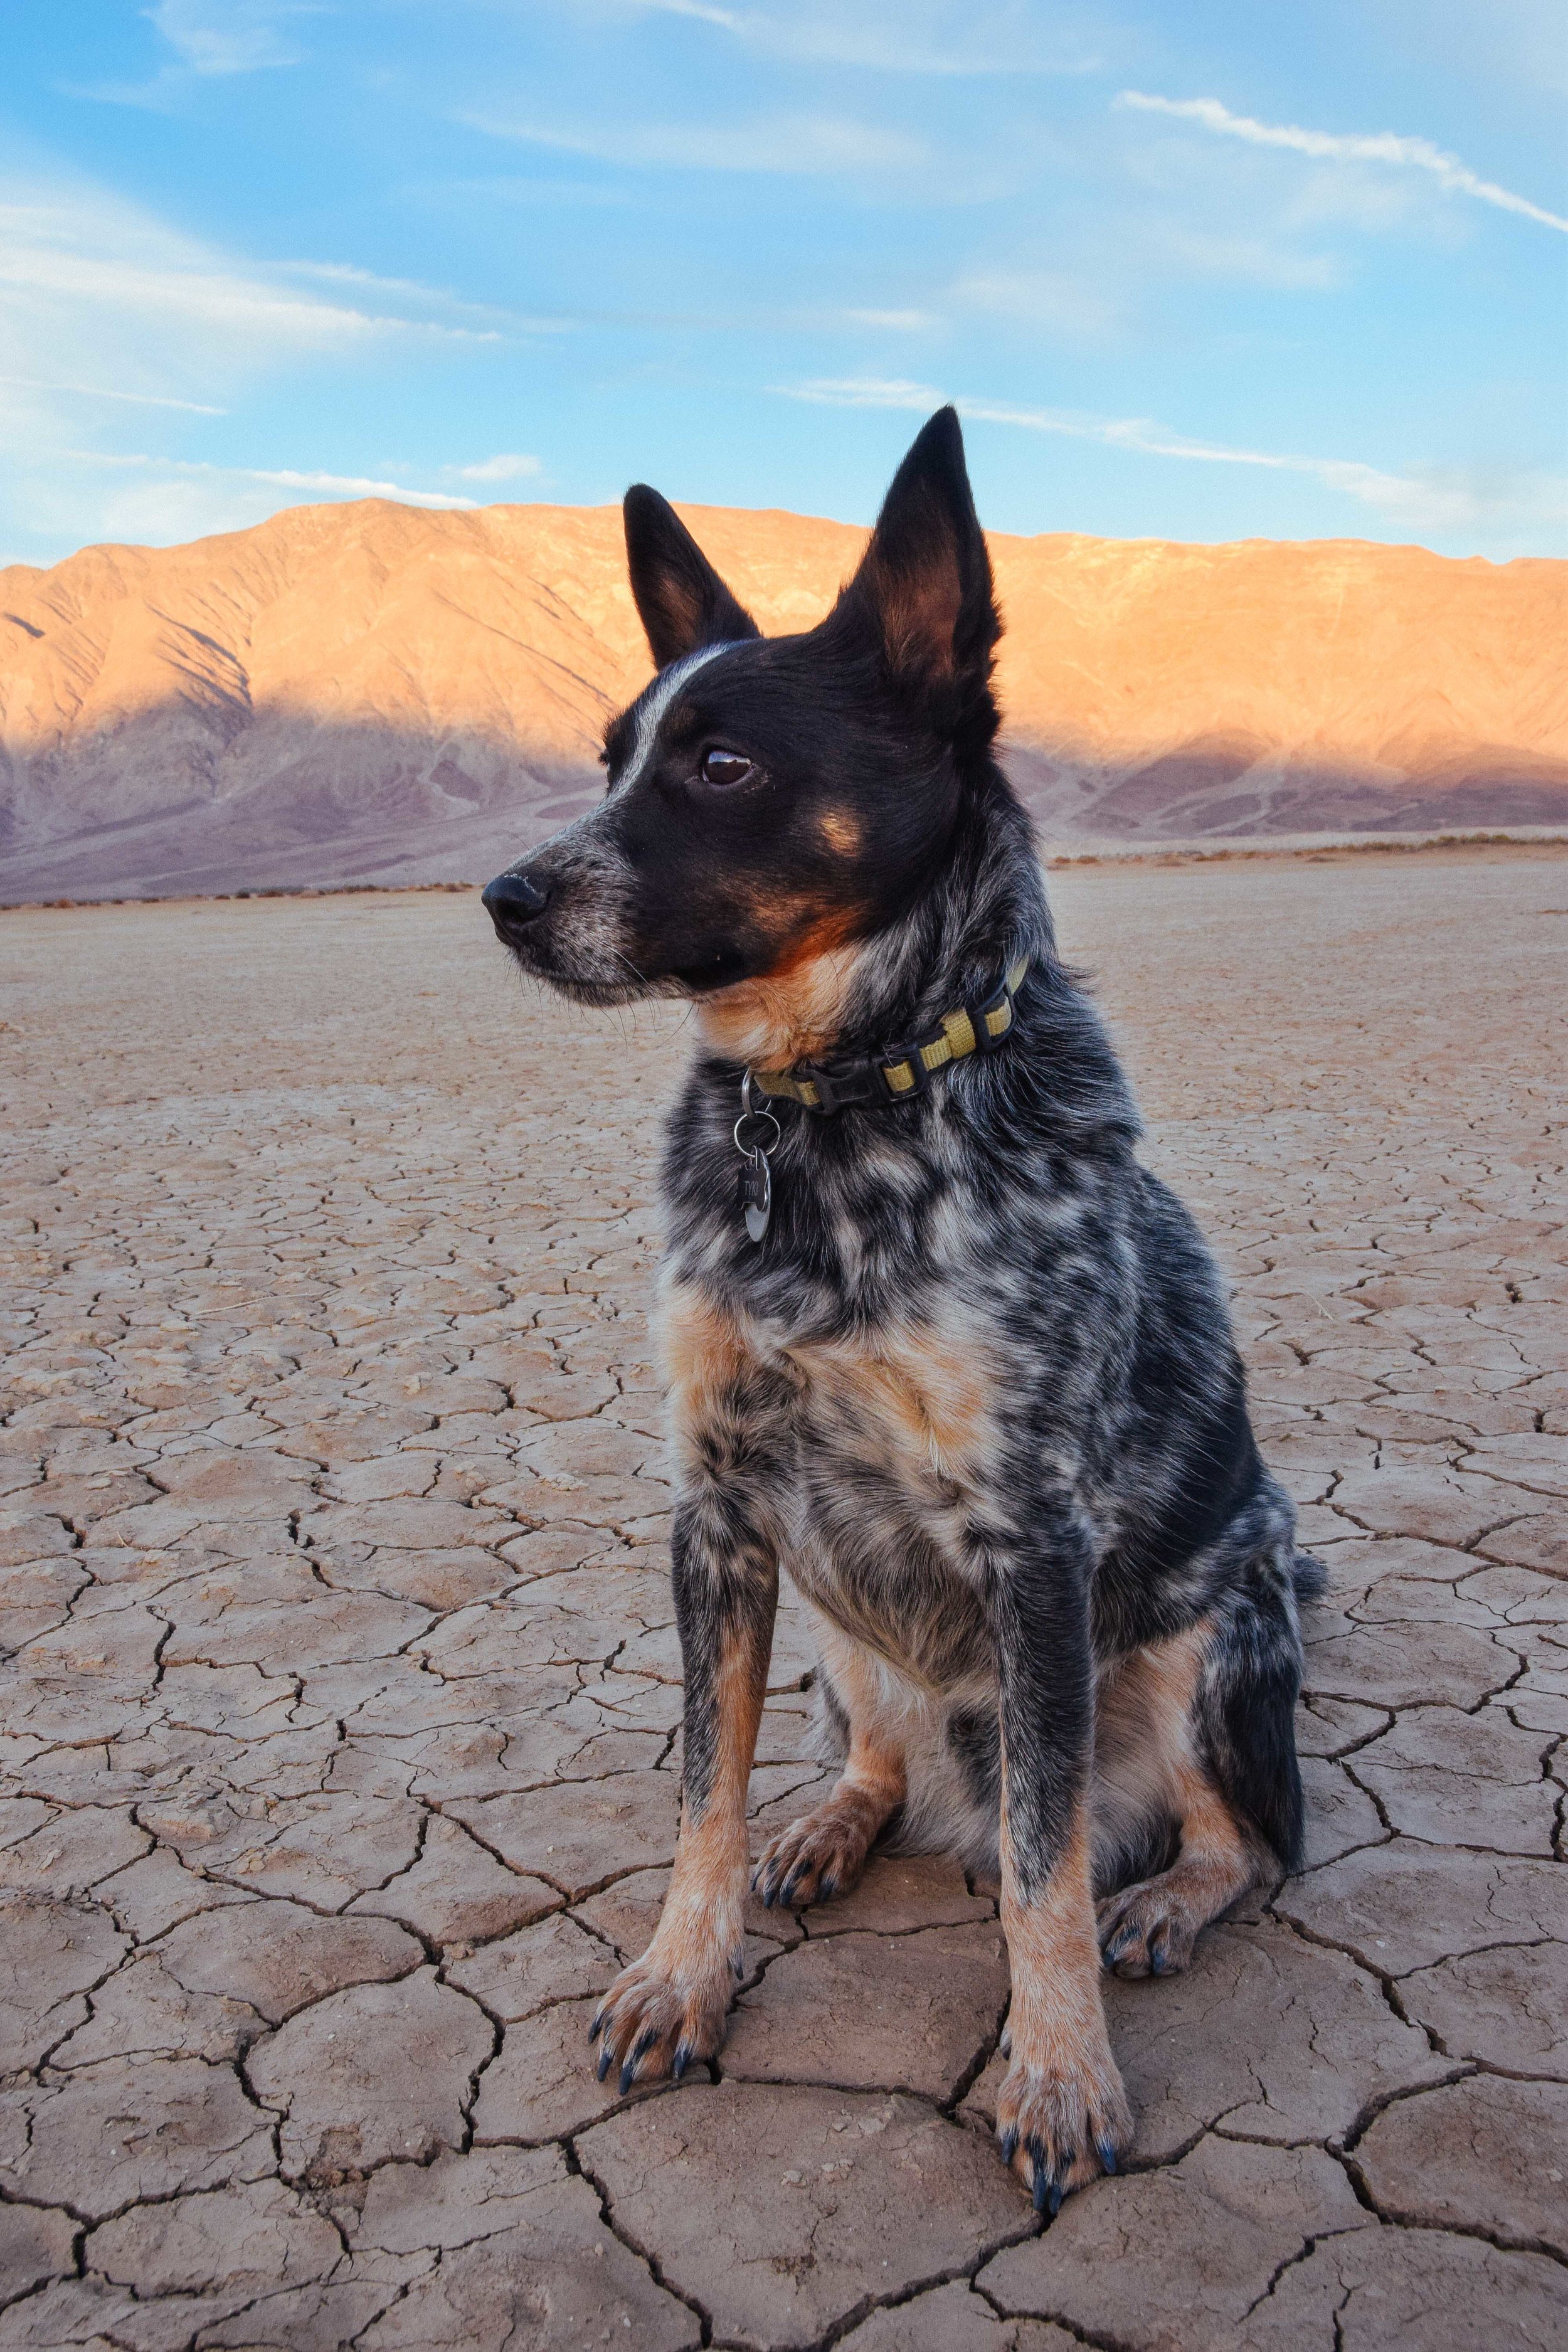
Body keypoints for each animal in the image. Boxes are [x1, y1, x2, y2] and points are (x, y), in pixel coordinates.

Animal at [484, 405, 1316, 2201]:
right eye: (611, 754)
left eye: (722, 764)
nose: (505, 897)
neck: (828, 1109)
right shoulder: (718, 1508)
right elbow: (700, 1790)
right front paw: (679, 1972)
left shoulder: (1033, 1534)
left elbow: (1042, 1862)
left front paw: (1058, 2071)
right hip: (842, 1630)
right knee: (874, 1753)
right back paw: (834, 1821)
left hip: (1217, 1625)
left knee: (1243, 1837)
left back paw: (1167, 1897)